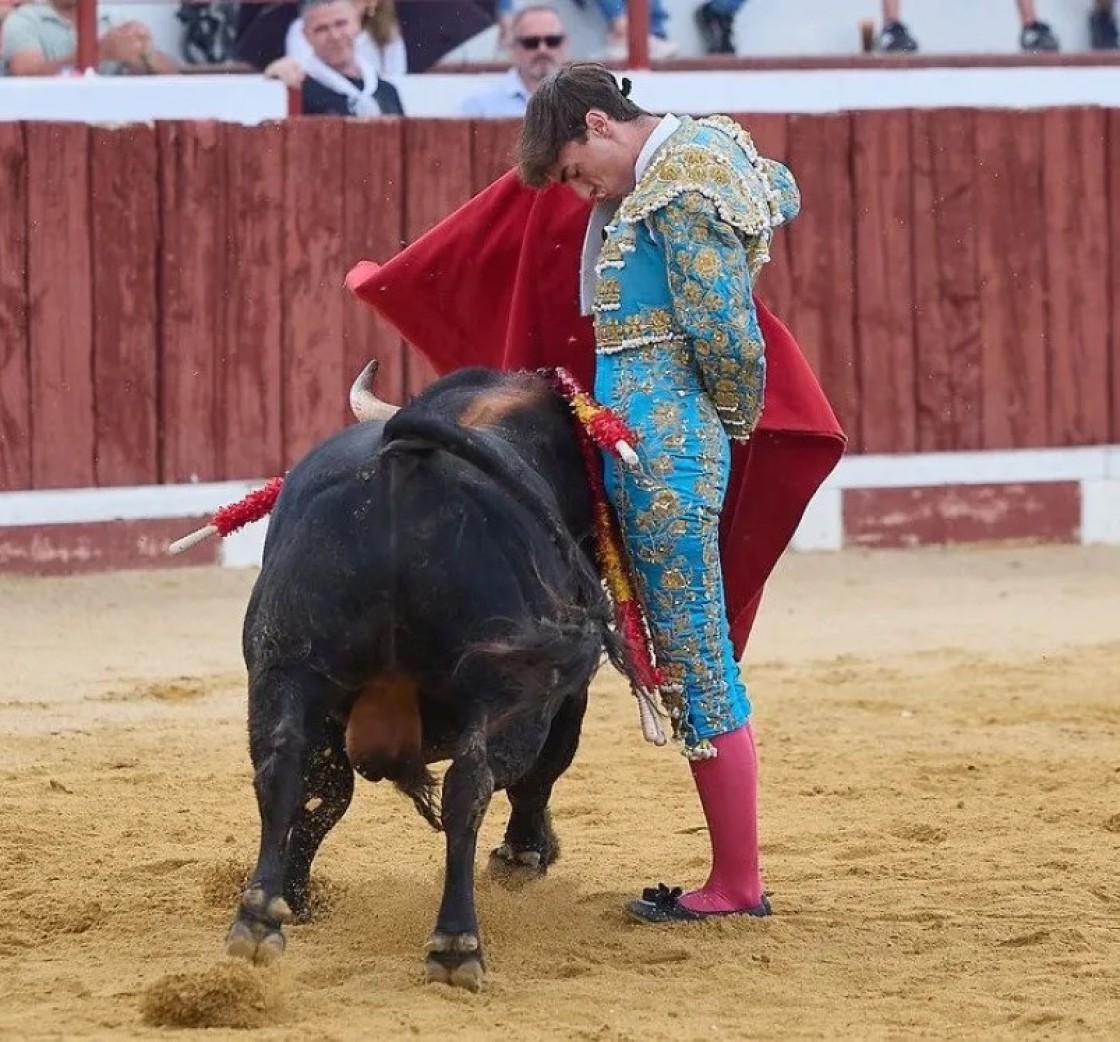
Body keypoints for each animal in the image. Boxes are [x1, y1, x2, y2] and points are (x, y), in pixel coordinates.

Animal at [220, 367, 622, 990]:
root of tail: (406, 465)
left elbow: (326, 791)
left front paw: (295, 893)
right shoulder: (558, 694)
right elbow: (543, 772)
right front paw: (525, 855)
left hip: (283, 662)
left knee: (282, 768)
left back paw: (259, 917)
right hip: (503, 686)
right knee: (472, 785)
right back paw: (456, 945)